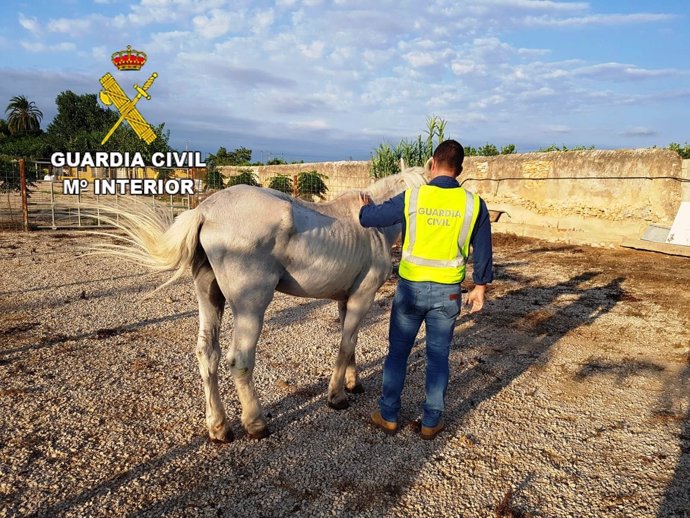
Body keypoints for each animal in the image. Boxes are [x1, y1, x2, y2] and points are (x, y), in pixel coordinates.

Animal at [91, 168, 424, 442]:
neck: (372, 227)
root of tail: (205, 211)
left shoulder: (346, 300)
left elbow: (350, 343)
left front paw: (353, 384)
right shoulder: (361, 298)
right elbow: (345, 345)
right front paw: (337, 396)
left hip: (209, 299)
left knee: (207, 354)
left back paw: (219, 427)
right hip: (251, 309)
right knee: (239, 360)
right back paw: (255, 424)